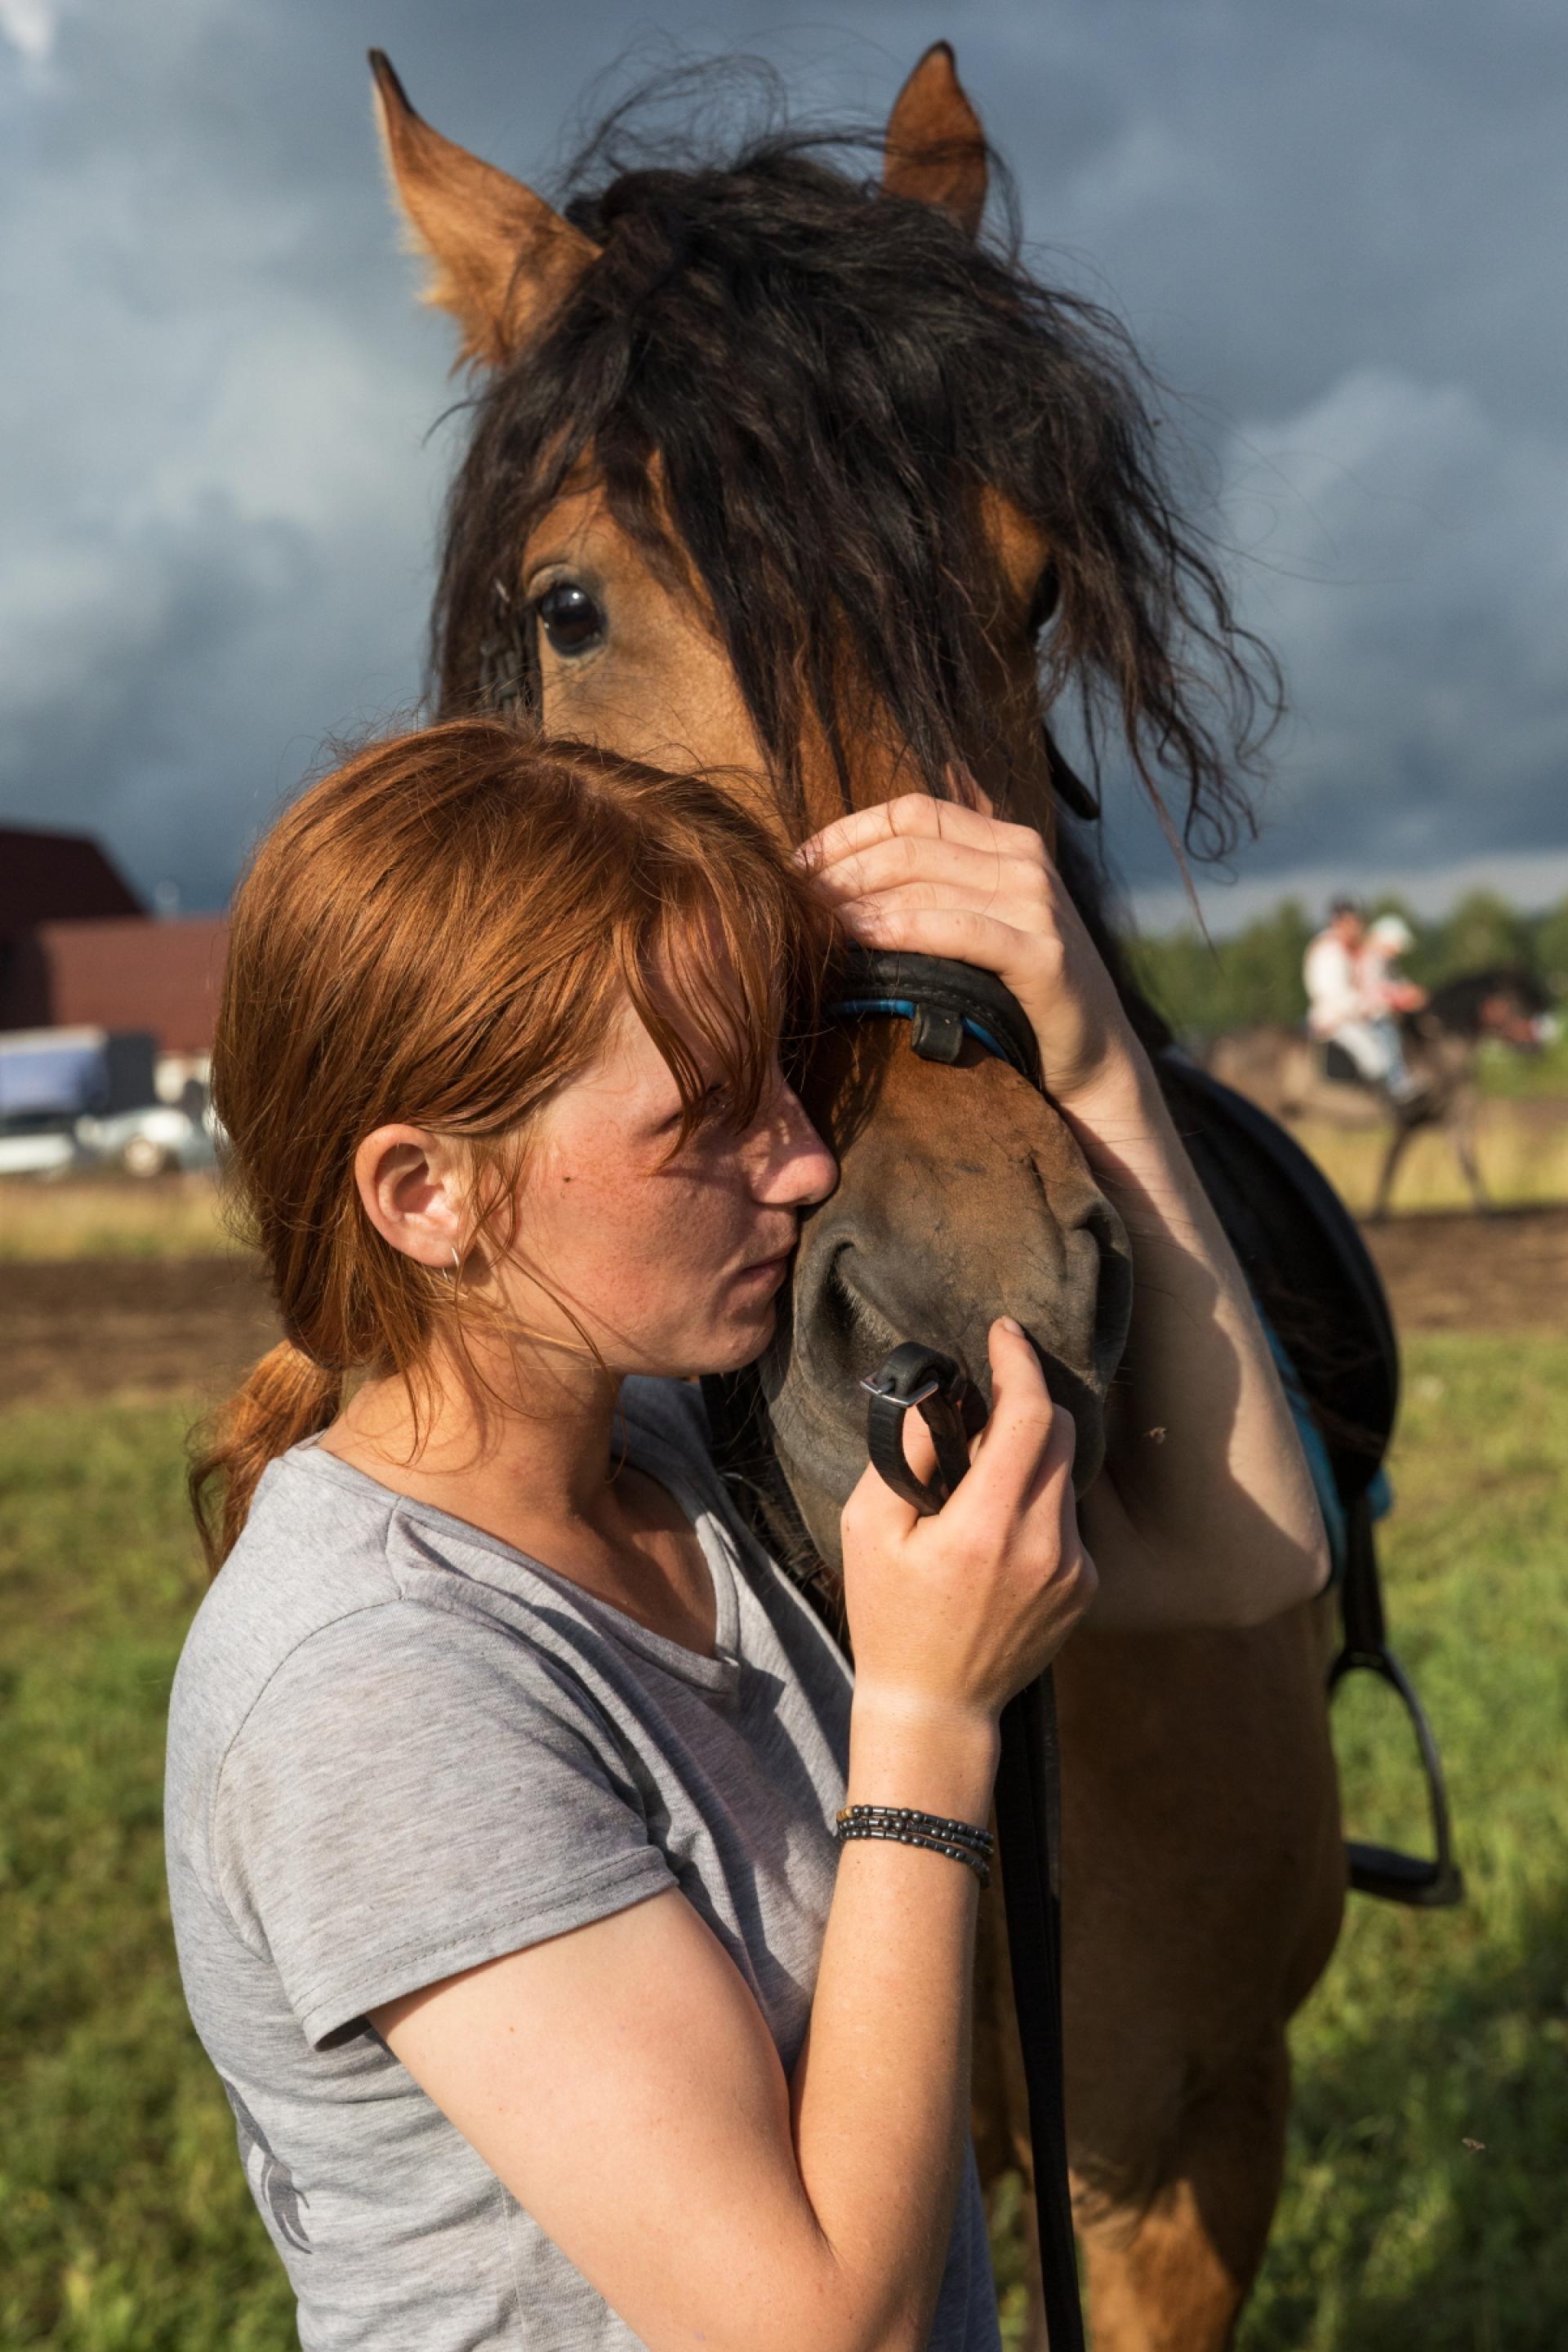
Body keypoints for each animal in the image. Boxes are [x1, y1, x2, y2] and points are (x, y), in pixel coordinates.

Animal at [1209, 967, 1554, 1218]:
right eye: (1519, 1001)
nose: (1539, 1044)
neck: (1436, 1049)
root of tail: (1226, 1043)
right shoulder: (1407, 1120)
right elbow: (1390, 1168)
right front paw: (1377, 1216)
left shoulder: (1452, 1117)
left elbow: (1468, 1165)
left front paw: (1491, 1214)